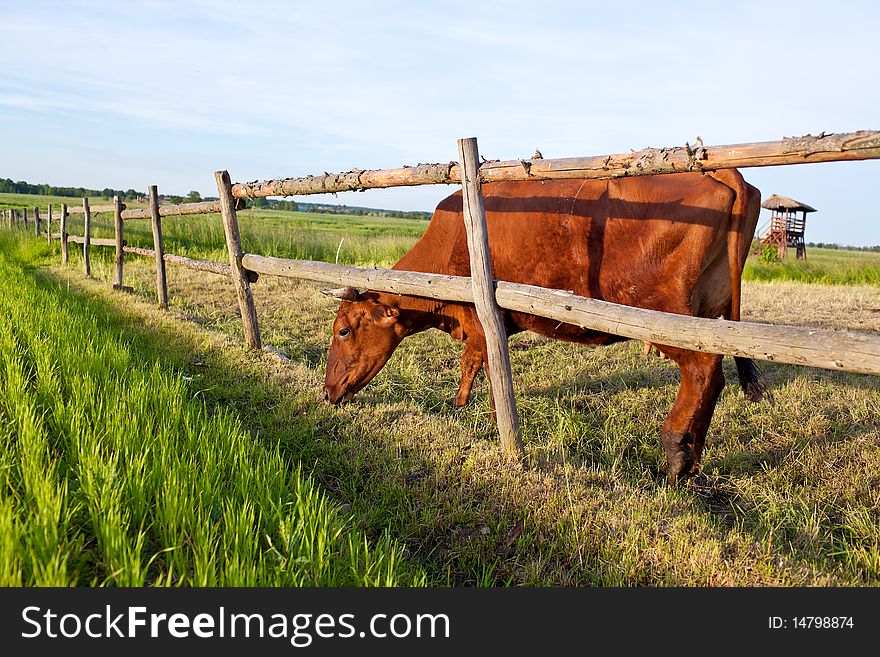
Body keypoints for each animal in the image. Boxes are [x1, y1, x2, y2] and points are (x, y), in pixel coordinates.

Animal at [322, 170, 764, 482]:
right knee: (713, 377)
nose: (327, 392)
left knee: (701, 371)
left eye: (343, 330)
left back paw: (675, 456)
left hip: (669, 319)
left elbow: (485, 368)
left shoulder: (483, 319)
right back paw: (691, 459)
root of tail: (722, 173)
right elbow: (471, 363)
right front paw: (460, 404)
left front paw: (489, 420)